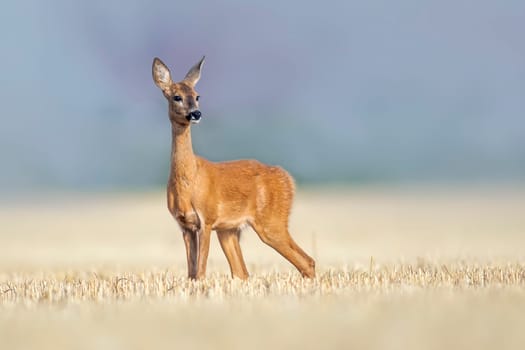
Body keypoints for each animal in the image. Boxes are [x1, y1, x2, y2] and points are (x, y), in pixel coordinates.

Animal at [151, 55, 316, 278]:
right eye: (176, 97)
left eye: (197, 96)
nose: (196, 114)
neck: (189, 180)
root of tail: (287, 178)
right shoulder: (185, 225)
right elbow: (192, 274)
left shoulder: (206, 219)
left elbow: (201, 272)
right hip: (229, 230)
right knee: (242, 272)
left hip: (271, 222)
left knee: (307, 261)